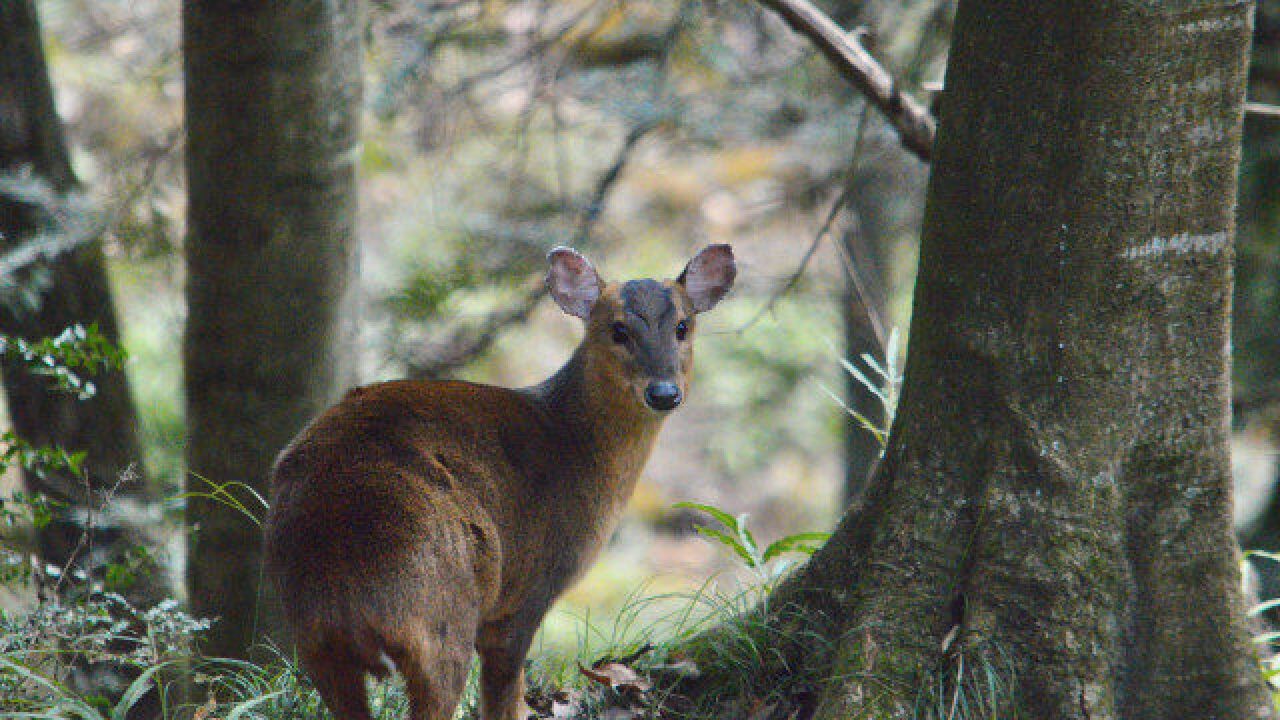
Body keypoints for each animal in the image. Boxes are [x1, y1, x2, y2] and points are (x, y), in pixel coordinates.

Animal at [264, 242, 737, 717]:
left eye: (683, 326)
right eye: (617, 330)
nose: (664, 392)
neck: (574, 445)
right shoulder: (528, 589)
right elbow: (505, 693)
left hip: (313, 638)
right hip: (440, 614)